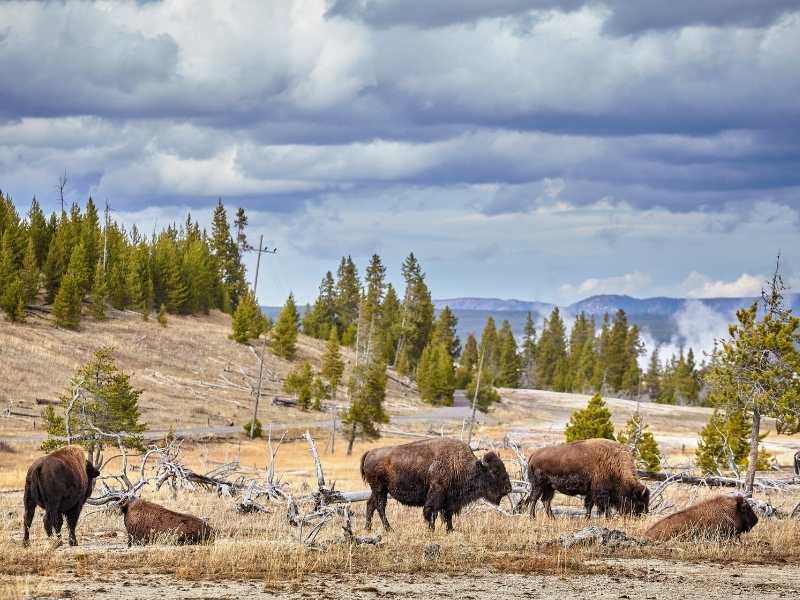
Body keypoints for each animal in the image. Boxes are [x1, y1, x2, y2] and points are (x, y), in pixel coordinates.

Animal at [360, 438, 510, 532]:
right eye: (494, 471)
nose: (508, 488)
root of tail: (370, 453)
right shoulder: (436, 494)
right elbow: (432, 512)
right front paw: (431, 530)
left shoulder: (449, 500)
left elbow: (447, 515)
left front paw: (451, 530)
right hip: (380, 489)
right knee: (380, 506)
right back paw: (389, 529)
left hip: (378, 490)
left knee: (370, 505)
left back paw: (368, 528)